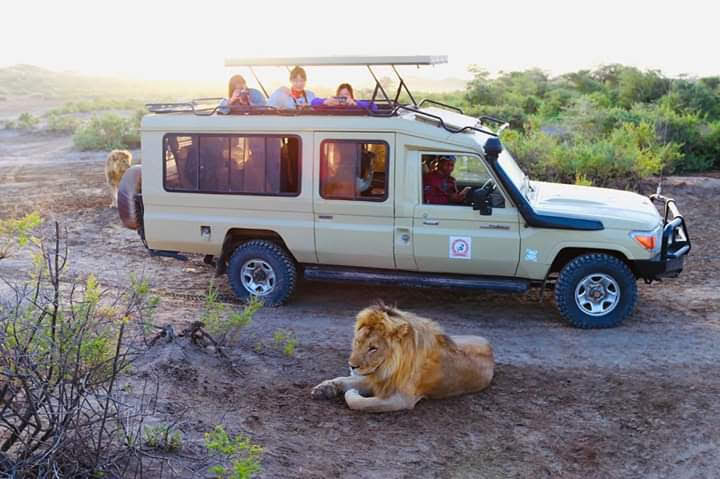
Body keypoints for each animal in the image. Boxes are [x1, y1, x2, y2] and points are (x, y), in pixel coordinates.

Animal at [312, 304, 498, 412]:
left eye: (373, 348)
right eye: (358, 342)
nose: (352, 365)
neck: (389, 366)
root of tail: (488, 343)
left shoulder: (403, 399)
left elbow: (361, 403)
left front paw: (352, 392)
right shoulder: (379, 379)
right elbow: (344, 380)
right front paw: (325, 388)